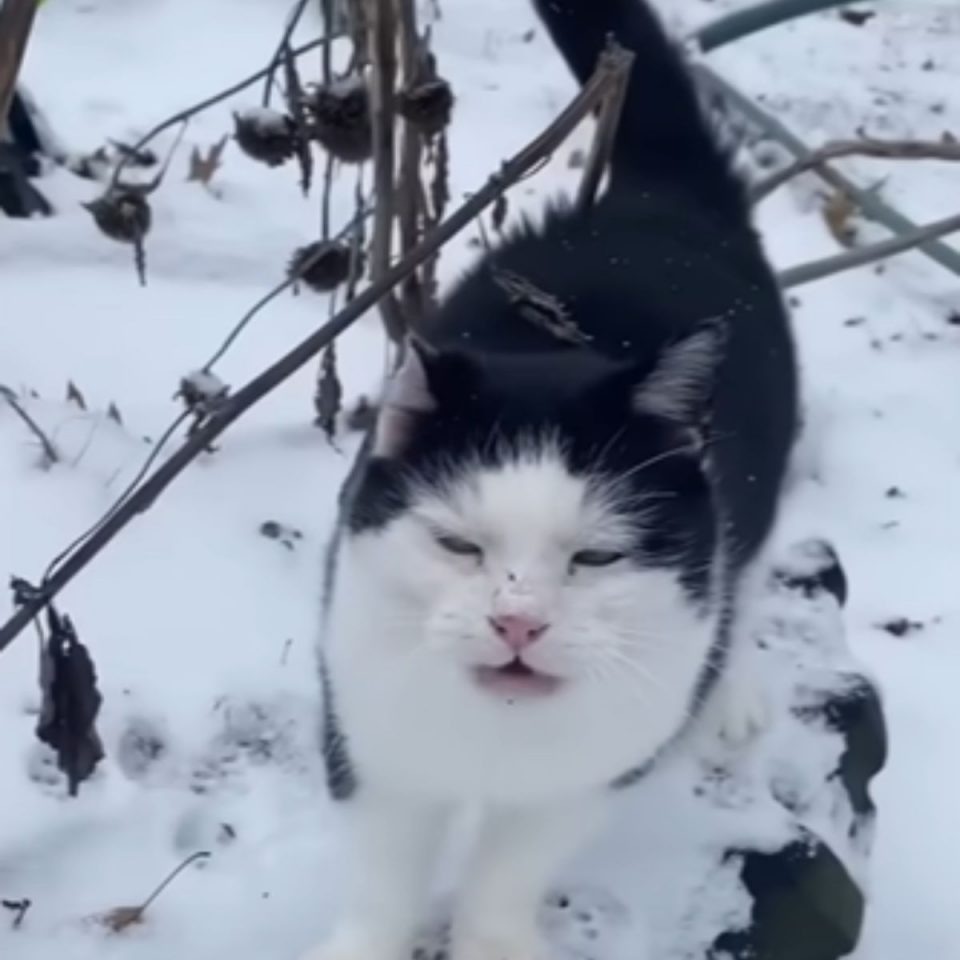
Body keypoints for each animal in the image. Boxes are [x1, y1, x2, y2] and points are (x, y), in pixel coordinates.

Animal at [304, 1, 800, 960]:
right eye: (457, 544)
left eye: (597, 559)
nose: (517, 622)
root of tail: (659, 196)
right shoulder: (373, 741)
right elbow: (384, 874)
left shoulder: (590, 773)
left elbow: (508, 874)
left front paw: (492, 941)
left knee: (749, 568)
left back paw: (733, 687)